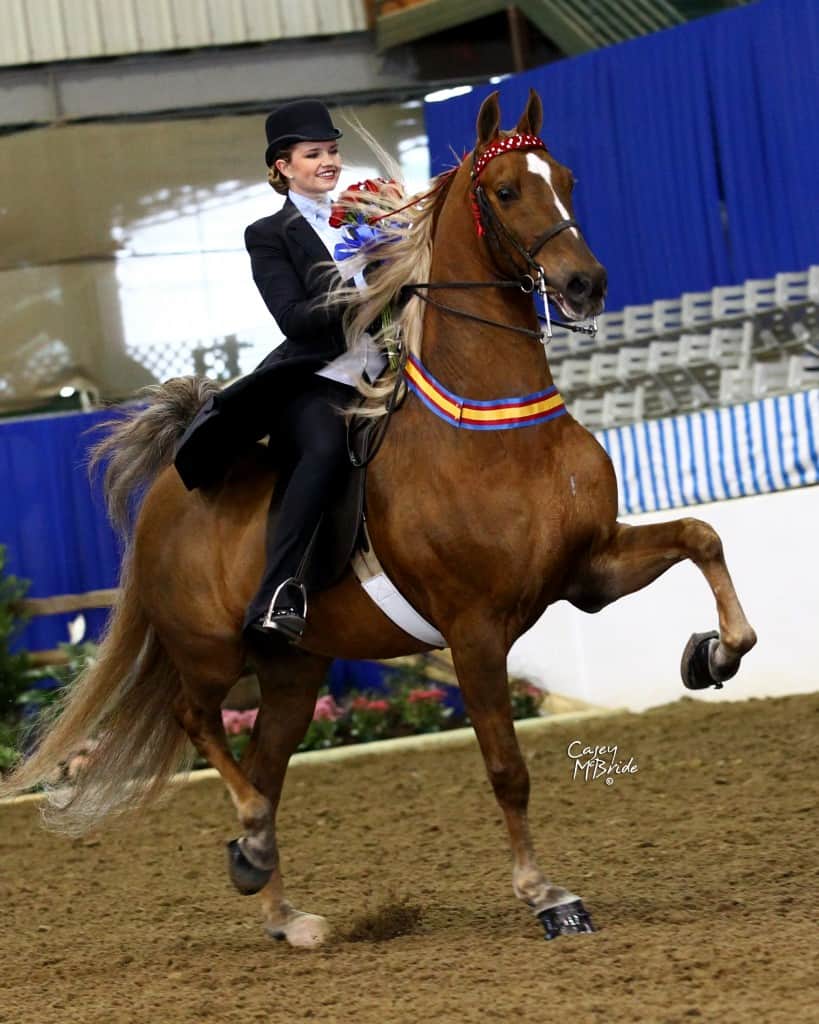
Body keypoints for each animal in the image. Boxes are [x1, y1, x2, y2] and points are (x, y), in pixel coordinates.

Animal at [1, 90, 753, 950]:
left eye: (565, 179)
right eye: (504, 191)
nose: (584, 283)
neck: (497, 428)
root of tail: (166, 491)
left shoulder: (586, 570)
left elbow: (701, 537)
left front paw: (713, 655)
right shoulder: (474, 628)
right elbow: (506, 767)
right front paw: (546, 895)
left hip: (292, 673)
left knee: (266, 767)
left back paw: (280, 907)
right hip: (208, 648)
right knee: (202, 724)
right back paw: (250, 841)